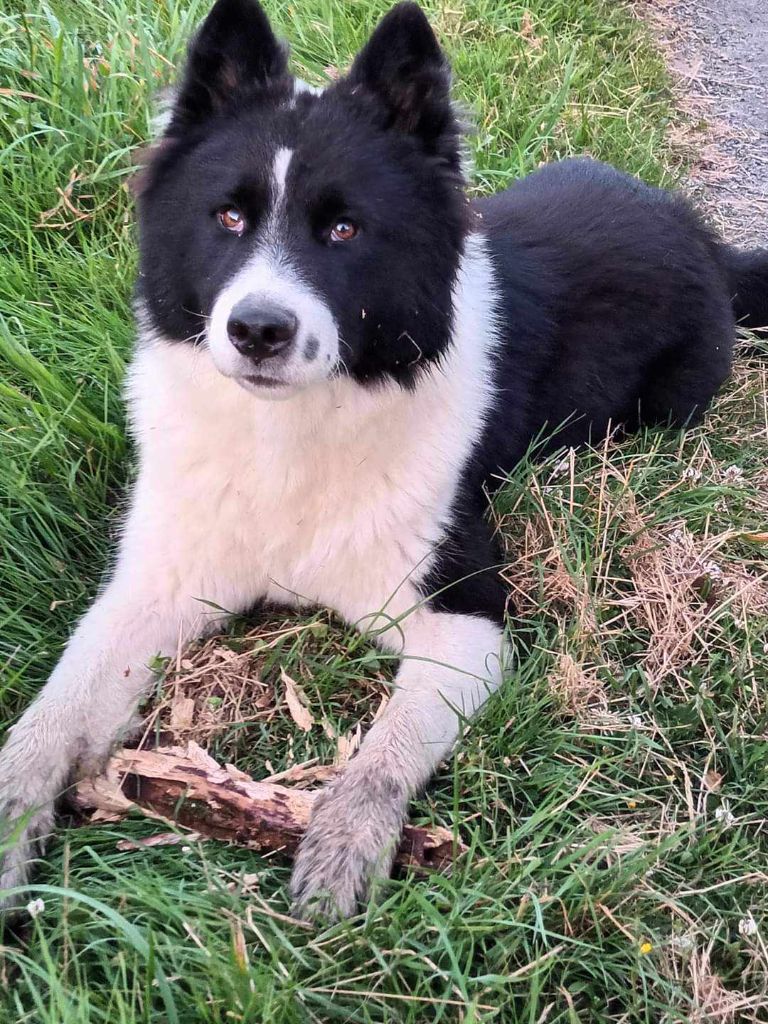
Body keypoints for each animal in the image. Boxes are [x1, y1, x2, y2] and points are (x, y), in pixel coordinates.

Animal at [1, 0, 768, 921]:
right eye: (227, 218)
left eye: (343, 228)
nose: (257, 332)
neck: (286, 440)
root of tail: (702, 236)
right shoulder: (152, 589)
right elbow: (52, 710)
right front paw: (10, 822)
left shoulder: (464, 617)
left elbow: (384, 753)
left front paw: (344, 845)